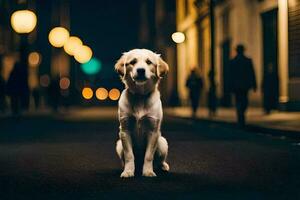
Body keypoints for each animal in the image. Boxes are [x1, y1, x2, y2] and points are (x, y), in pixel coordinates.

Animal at [114, 48, 169, 178]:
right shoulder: (124, 130)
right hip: (119, 144)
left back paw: (163, 166)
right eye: (133, 62)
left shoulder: (153, 131)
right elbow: (129, 155)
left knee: (159, 160)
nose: (140, 70)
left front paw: (148, 171)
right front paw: (128, 171)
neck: (140, 96)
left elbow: (149, 156)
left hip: (162, 142)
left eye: (149, 62)